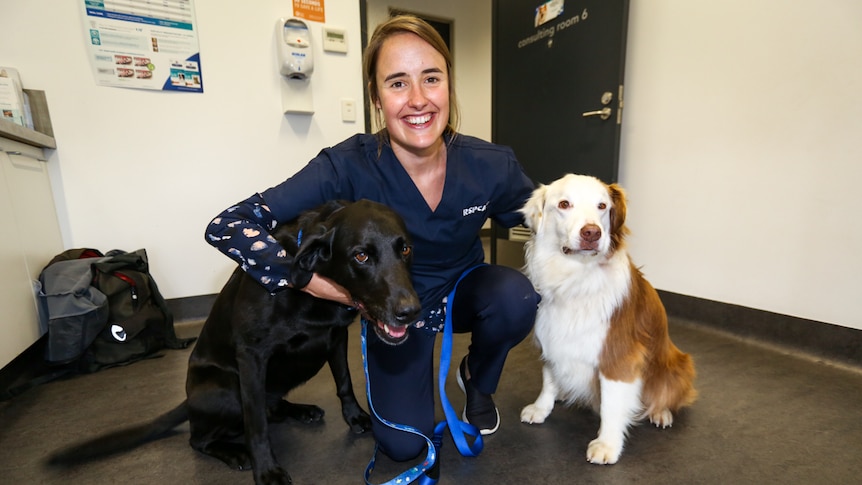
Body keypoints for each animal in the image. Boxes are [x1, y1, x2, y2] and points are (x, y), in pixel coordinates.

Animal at [520, 174, 696, 466]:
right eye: (564, 204)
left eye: (602, 206)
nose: (591, 232)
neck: (576, 279)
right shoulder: (552, 338)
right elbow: (549, 379)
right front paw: (542, 407)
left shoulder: (619, 355)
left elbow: (612, 405)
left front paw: (607, 444)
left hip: (677, 365)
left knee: (666, 395)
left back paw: (660, 412)